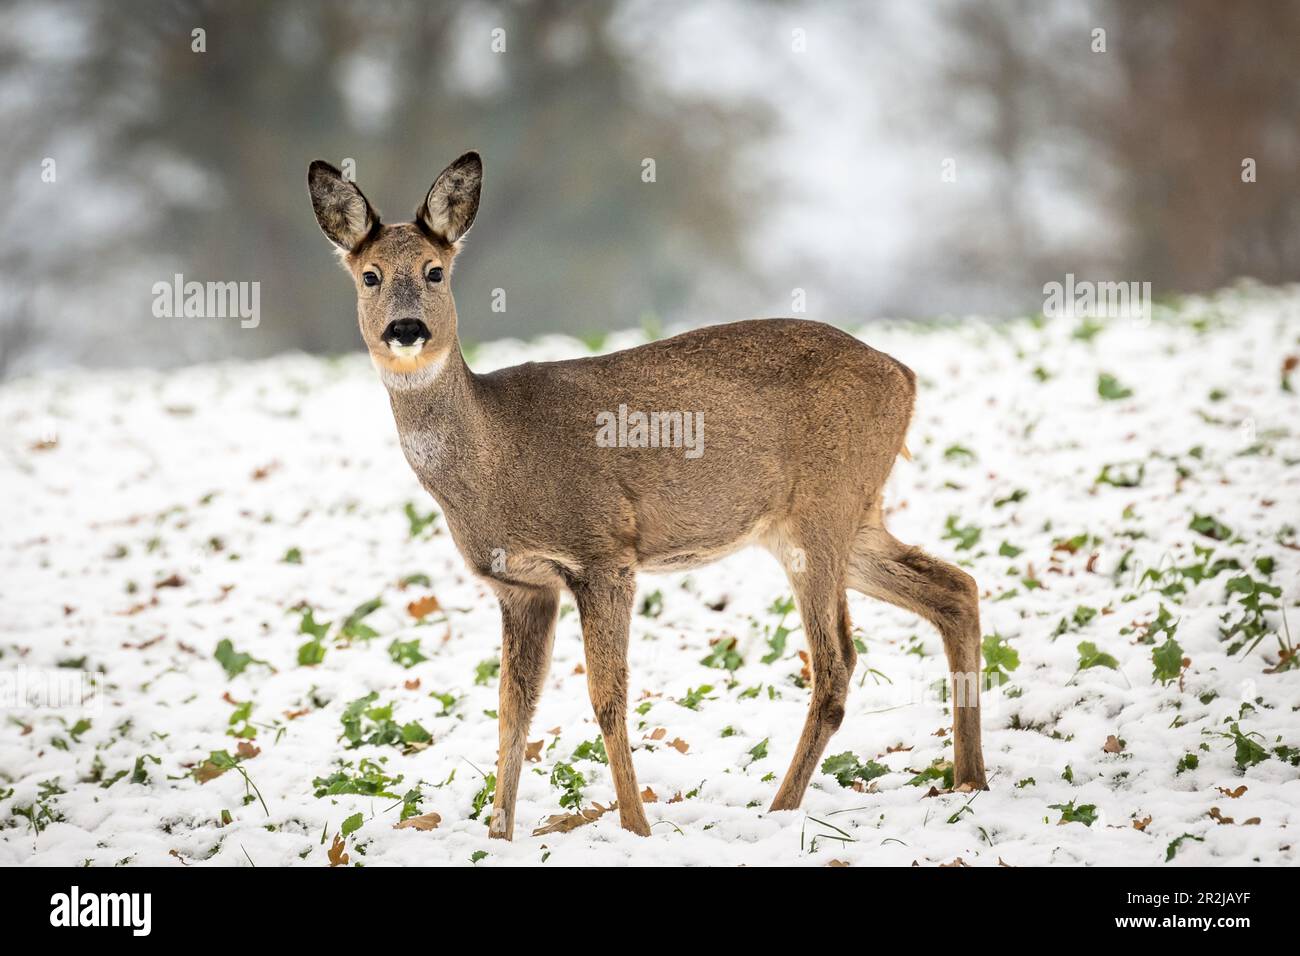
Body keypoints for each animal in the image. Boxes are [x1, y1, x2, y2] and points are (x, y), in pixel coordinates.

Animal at [312, 149, 982, 837]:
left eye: (435, 270)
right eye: (369, 276)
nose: (406, 328)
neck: (496, 459)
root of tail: (905, 376)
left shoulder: (603, 553)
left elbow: (606, 697)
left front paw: (635, 827)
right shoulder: (520, 586)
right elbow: (512, 708)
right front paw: (500, 834)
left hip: (822, 511)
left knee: (837, 664)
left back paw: (780, 809)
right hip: (845, 516)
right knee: (955, 588)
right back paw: (968, 780)